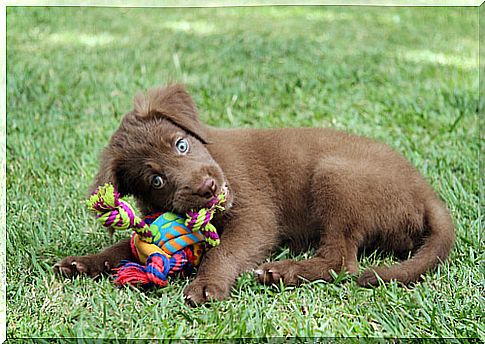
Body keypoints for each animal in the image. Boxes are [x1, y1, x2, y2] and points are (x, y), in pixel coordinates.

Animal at [54, 84, 456, 306]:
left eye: (181, 144)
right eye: (155, 180)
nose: (208, 188)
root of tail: (426, 193)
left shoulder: (255, 217)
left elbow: (224, 252)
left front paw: (207, 285)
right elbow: (120, 248)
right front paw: (82, 262)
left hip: (334, 174)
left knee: (341, 260)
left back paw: (284, 271)